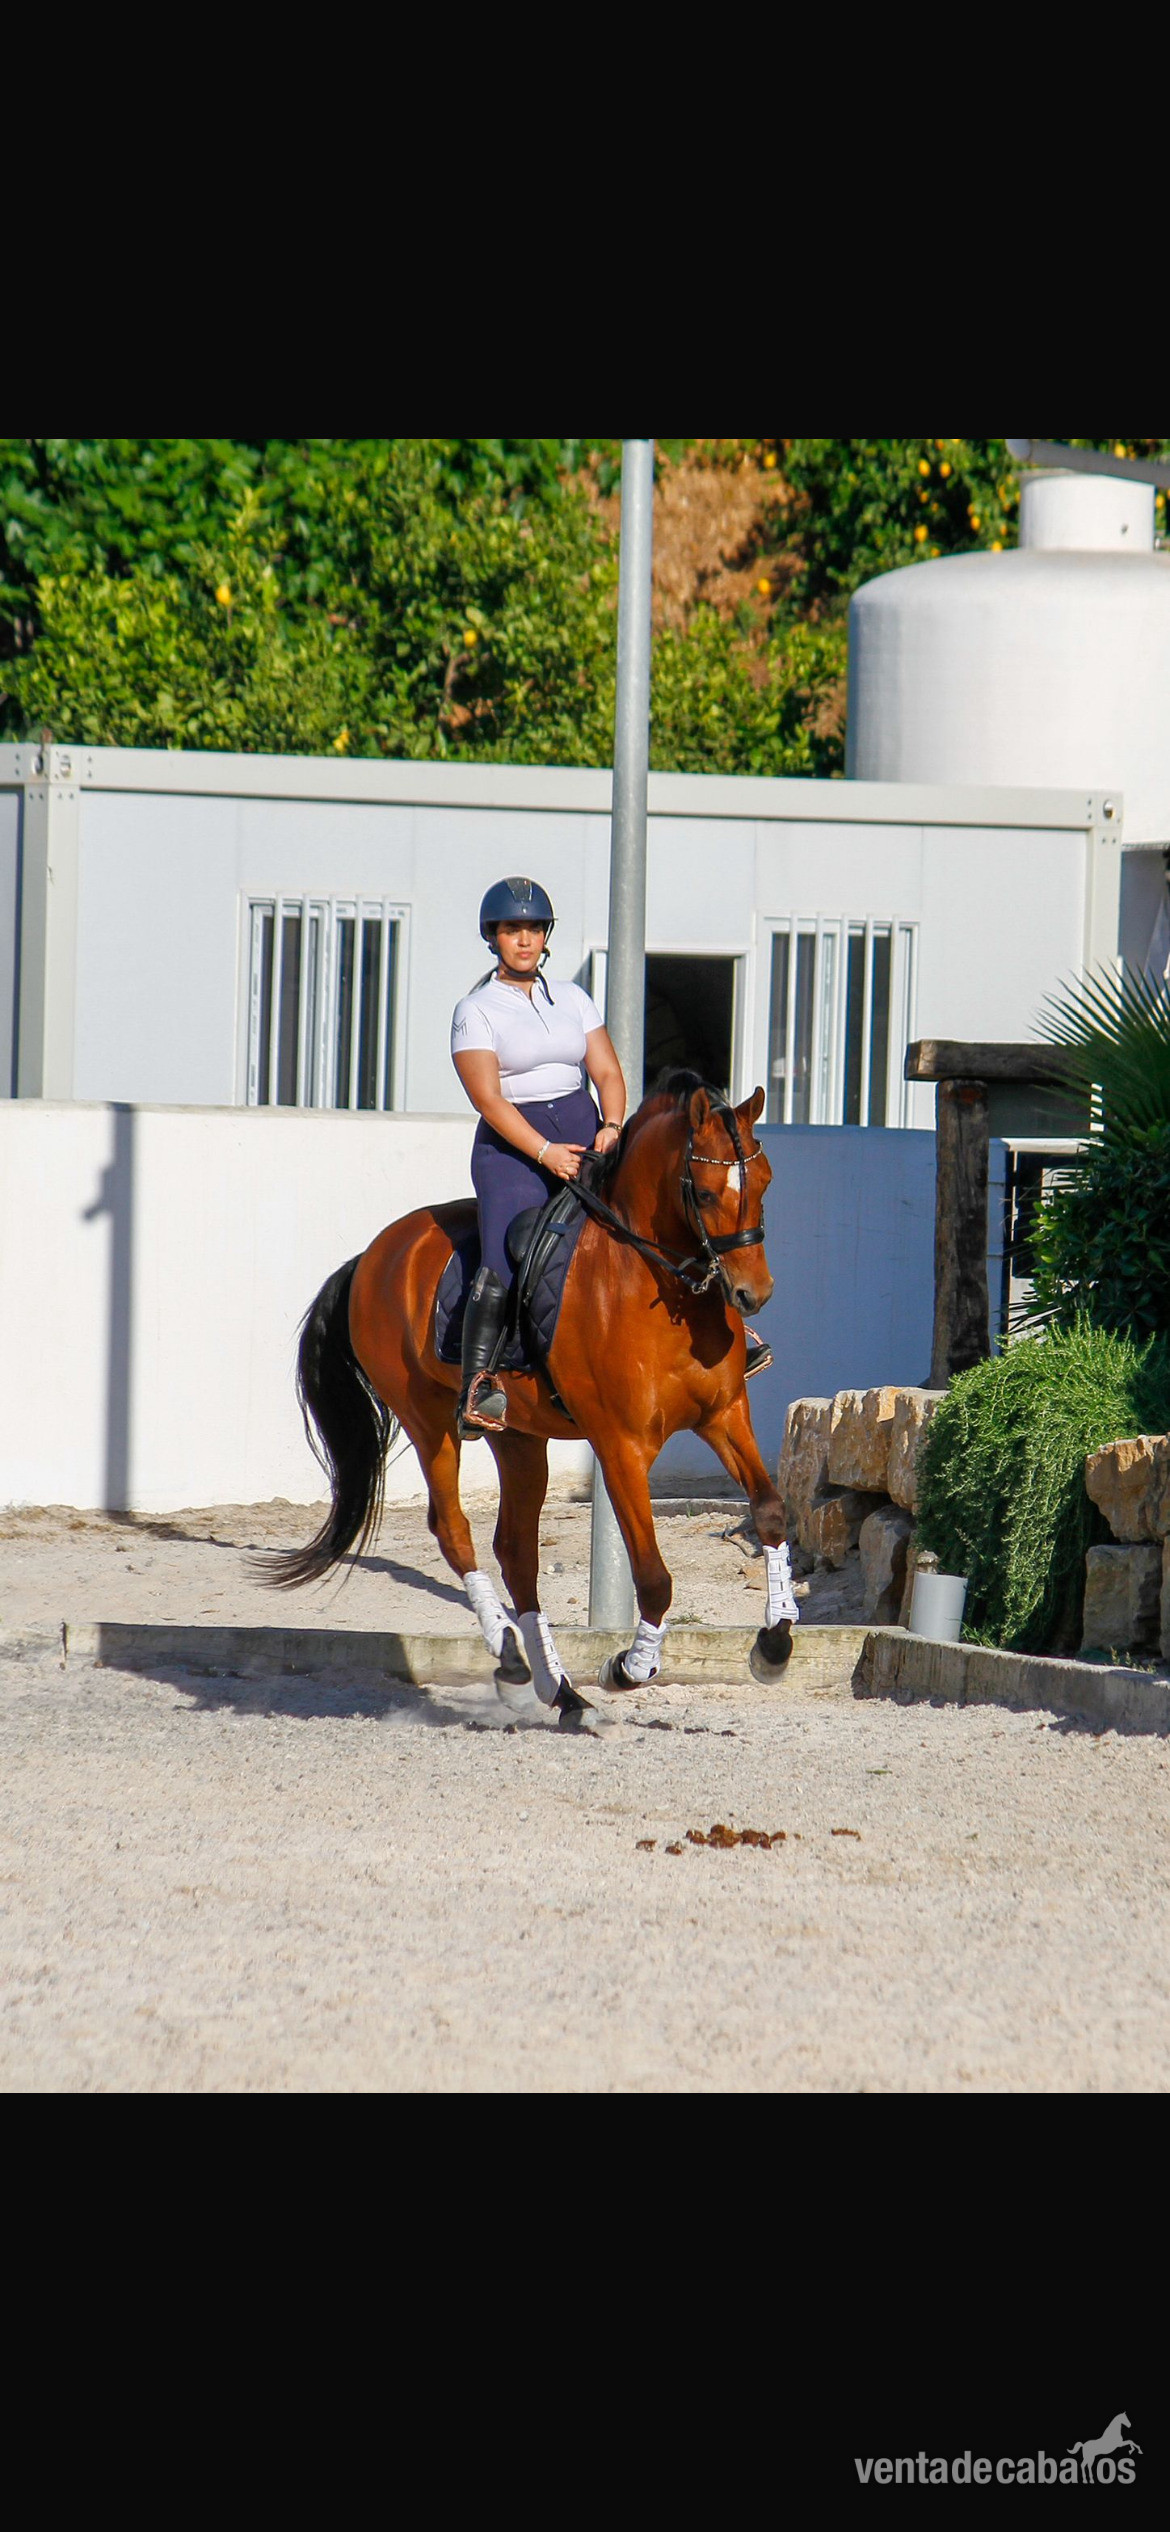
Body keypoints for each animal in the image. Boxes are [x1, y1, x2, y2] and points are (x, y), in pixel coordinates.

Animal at [263, 1069, 796, 1718]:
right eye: (706, 1192)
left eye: (765, 1182)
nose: (753, 1295)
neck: (652, 1285)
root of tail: (375, 1253)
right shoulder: (620, 1446)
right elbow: (652, 1576)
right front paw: (629, 1667)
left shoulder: (724, 1415)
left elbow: (770, 1511)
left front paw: (774, 1643)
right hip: (429, 1420)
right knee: (454, 1530)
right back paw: (514, 1655)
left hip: (518, 1437)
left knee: (516, 1550)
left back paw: (558, 1689)